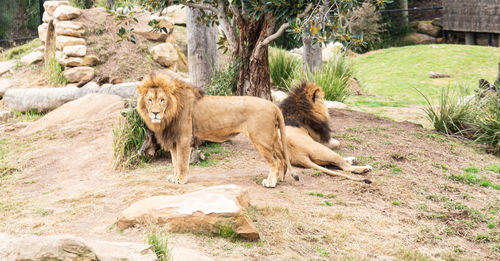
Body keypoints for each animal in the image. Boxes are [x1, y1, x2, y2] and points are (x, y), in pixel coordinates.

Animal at [136, 73, 296, 187]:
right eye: (150, 100)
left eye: (162, 100)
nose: (155, 113)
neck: (170, 112)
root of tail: (272, 105)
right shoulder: (174, 140)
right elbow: (175, 162)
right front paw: (174, 177)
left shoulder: (183, 138)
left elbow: (181, 162)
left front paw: (181, 179)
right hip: (271, 138)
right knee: (282, 158)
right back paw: (280, 179)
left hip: (261, 139)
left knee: (275, 161)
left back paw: (271, 183)